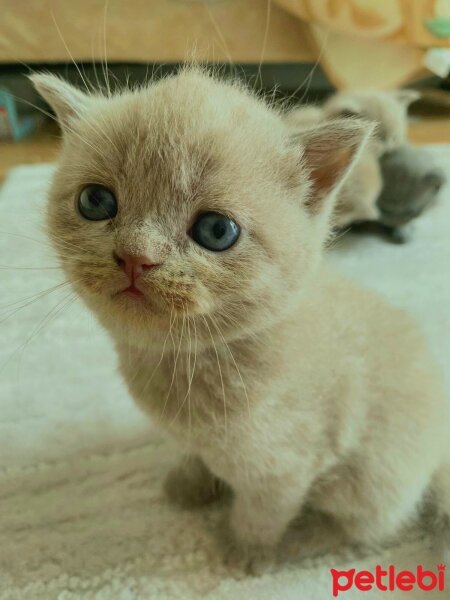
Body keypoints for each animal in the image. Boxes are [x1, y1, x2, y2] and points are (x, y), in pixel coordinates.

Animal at [32, 69, 450, 572]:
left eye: (216, 231)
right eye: (96, 201)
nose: (135, 256)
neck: (187, 367)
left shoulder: (284, 467)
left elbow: (262, 513)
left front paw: (245, 554)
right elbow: (194, 454)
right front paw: (191, 483)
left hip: (368, 482)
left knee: (363, 531)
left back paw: (304, 541)